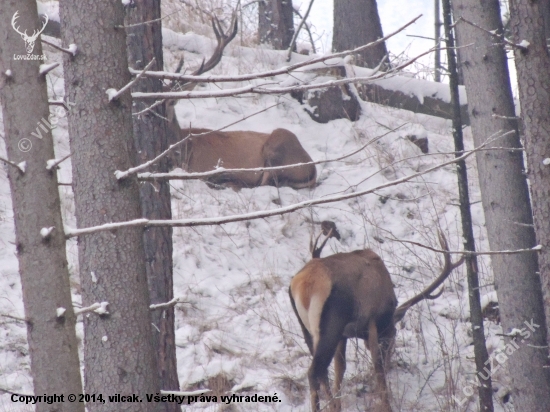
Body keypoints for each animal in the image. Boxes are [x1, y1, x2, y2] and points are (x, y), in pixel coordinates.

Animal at [292, 229, 464, 412]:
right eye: (392, 338)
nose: (390, 364)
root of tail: (303, 284)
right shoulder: (372, 321)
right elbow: (377, 365)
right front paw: (386, 405)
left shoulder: (344, 334)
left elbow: (340, 368)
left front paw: (337, 405)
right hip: (331, 325)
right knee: (314, 371)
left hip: (309, 330)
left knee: (321, 371)